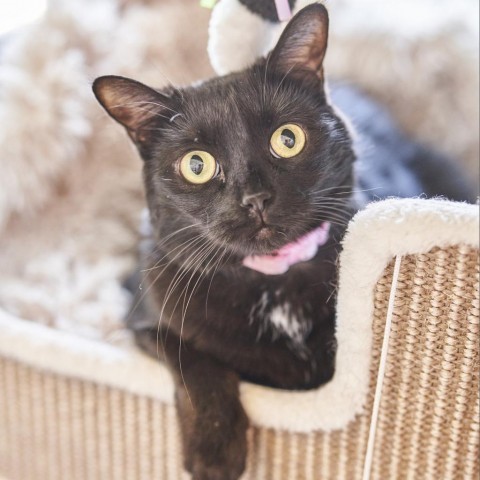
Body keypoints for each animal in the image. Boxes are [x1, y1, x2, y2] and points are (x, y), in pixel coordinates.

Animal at [92, 4, 474, 480]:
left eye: (287, 139)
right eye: (197, 165)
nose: (255, 198)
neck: (275, 285)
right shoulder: (143, 310)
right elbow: (194, 360)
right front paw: (214, 453)